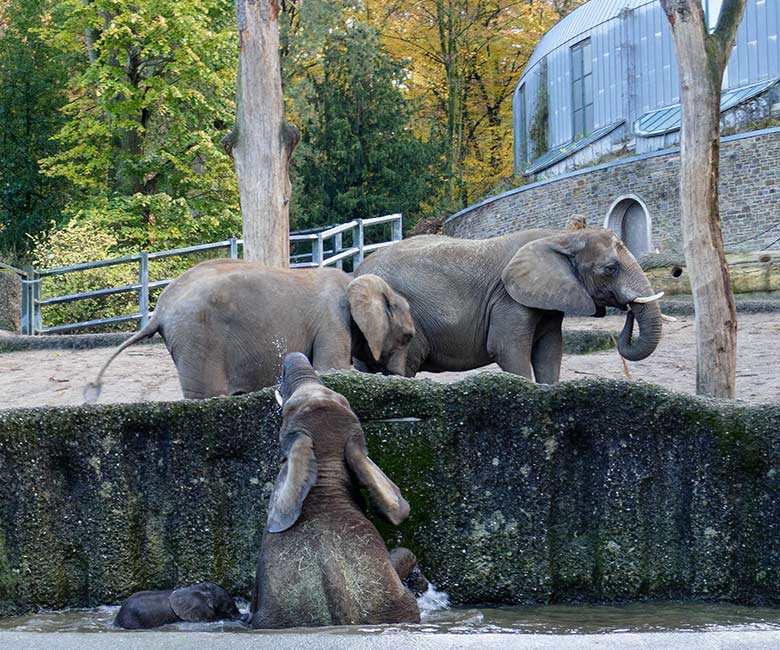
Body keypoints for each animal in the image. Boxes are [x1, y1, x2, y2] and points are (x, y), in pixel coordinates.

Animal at [354, 227, 664, 382]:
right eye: (610, 269)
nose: (628, 308)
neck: (560, 236)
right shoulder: (509, 299)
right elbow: (507, 349)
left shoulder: (547, 302)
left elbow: (549, 352)